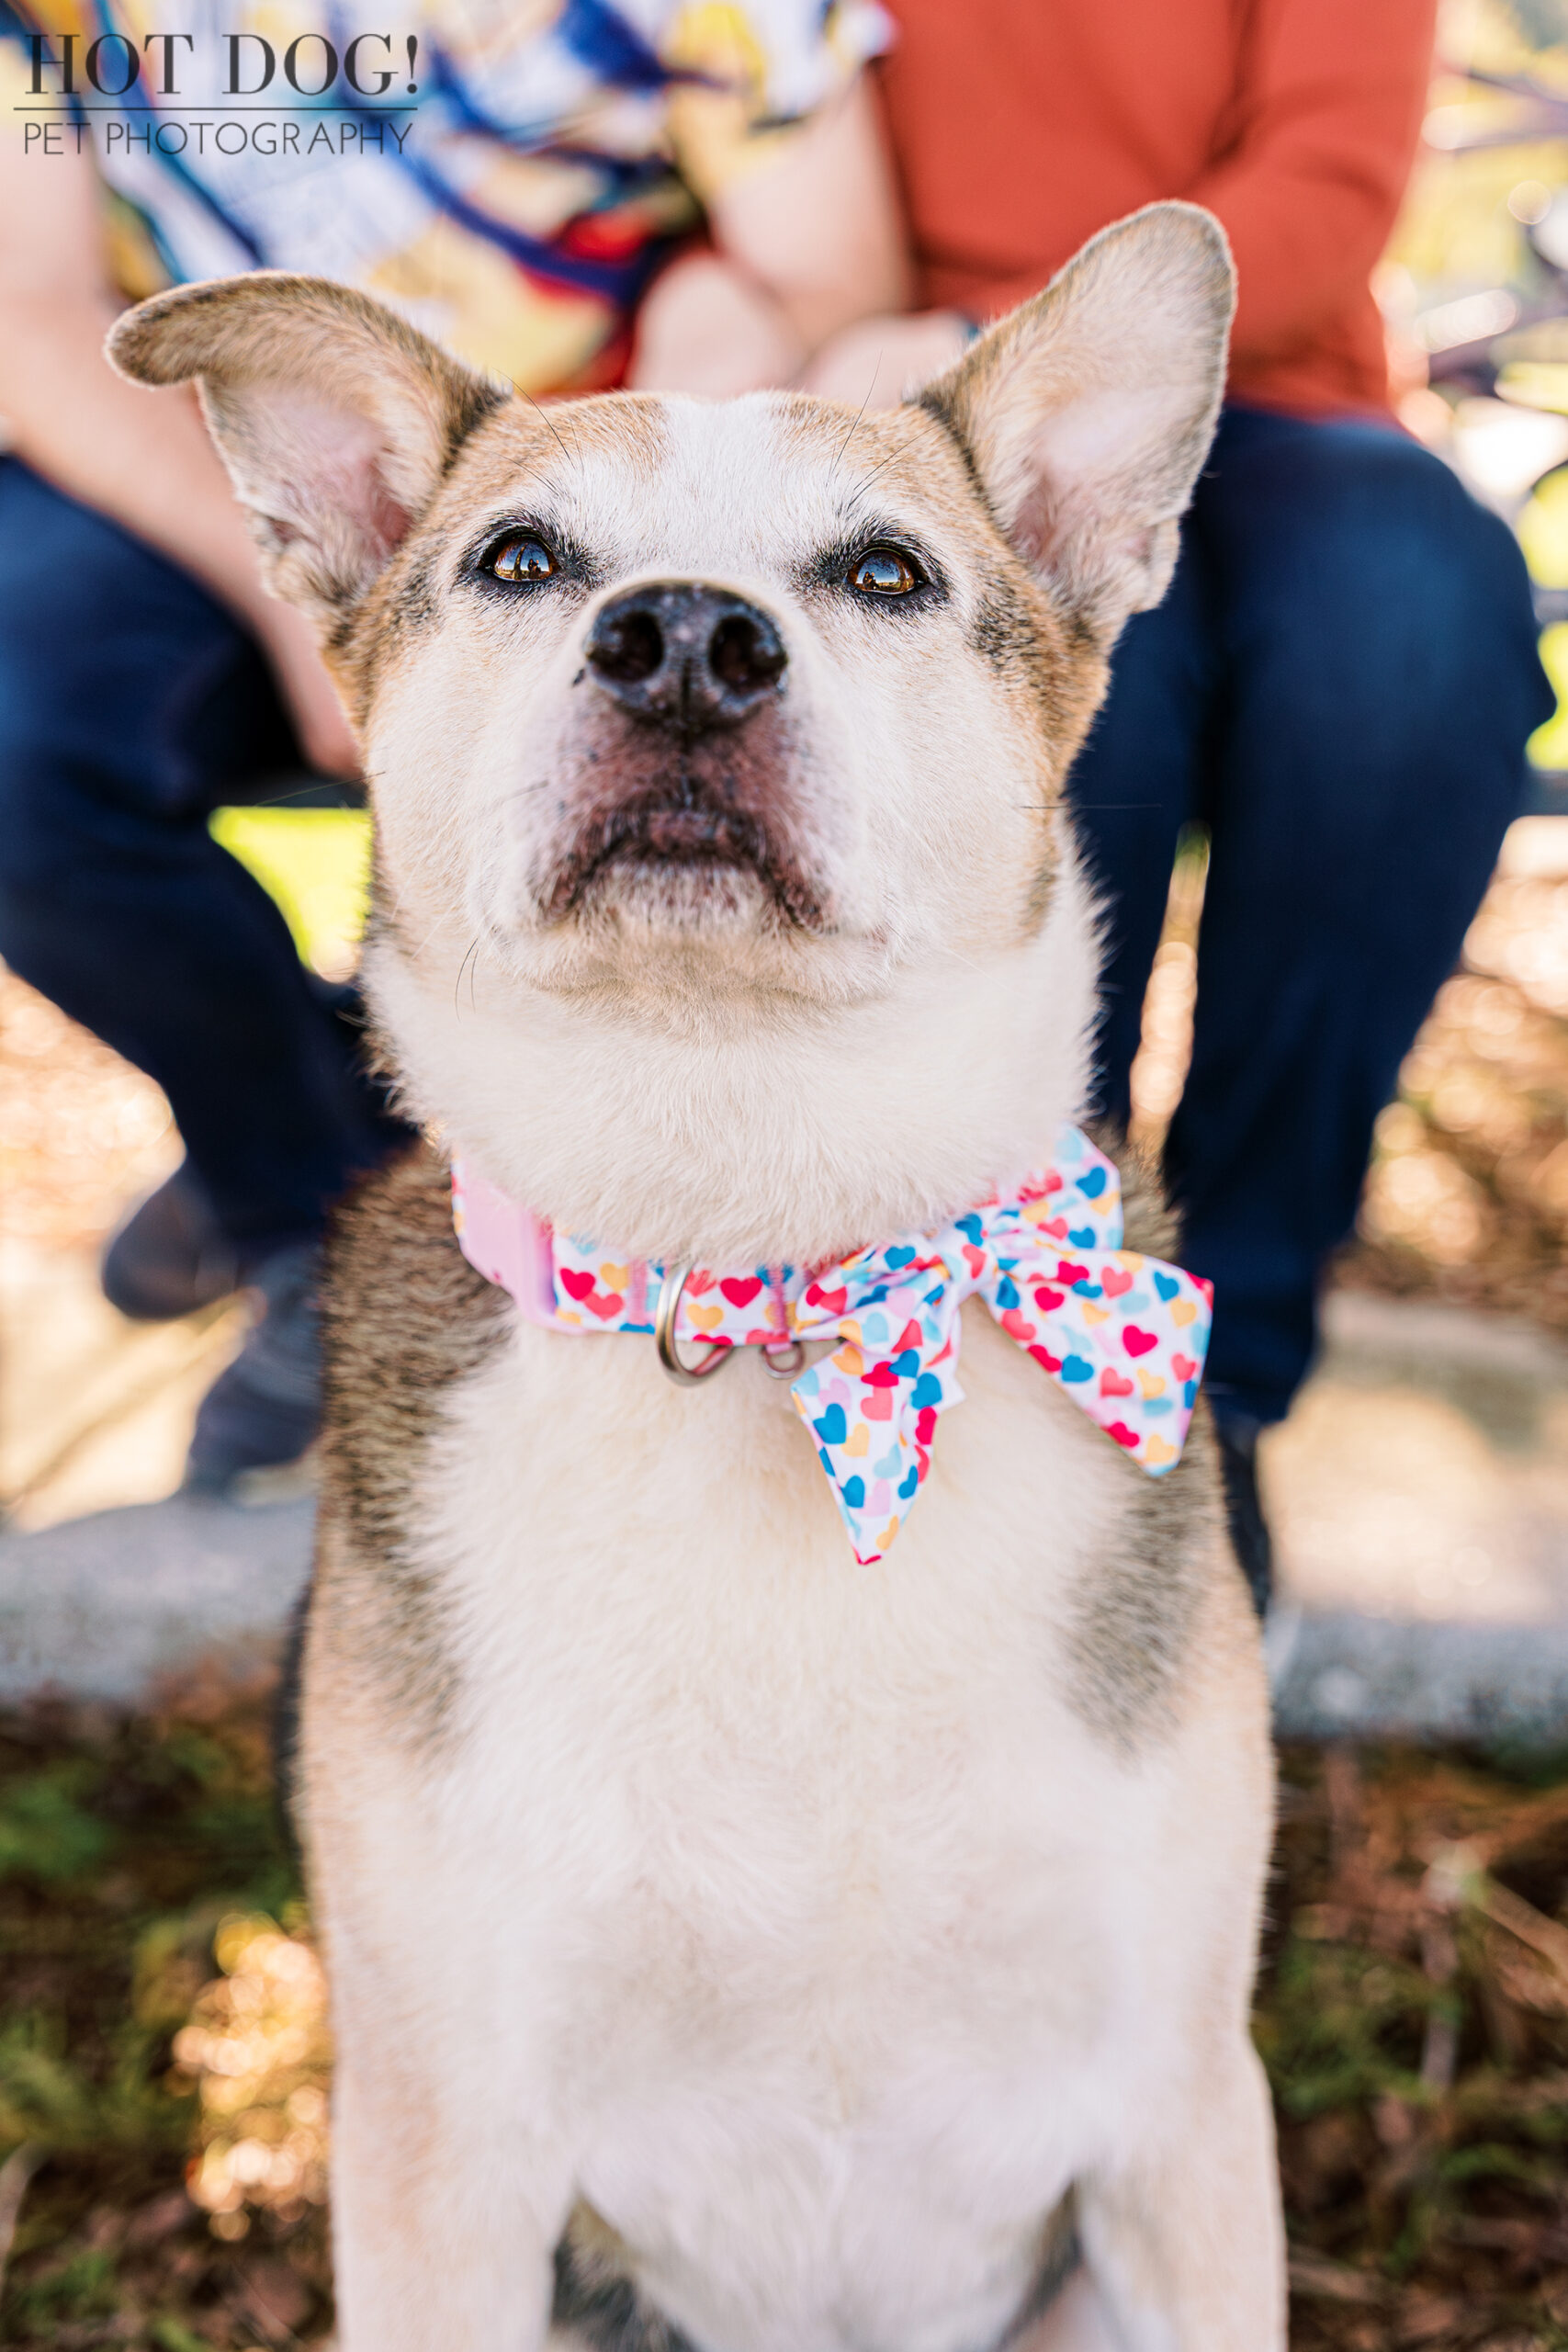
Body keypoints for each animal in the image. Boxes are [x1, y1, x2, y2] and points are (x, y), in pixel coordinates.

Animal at [110, 207, 1288, 2352]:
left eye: (884, 573)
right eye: (520, 559)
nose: (680, 641)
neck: (763, 1286)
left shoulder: (1177, 2114)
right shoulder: (442, 2148)